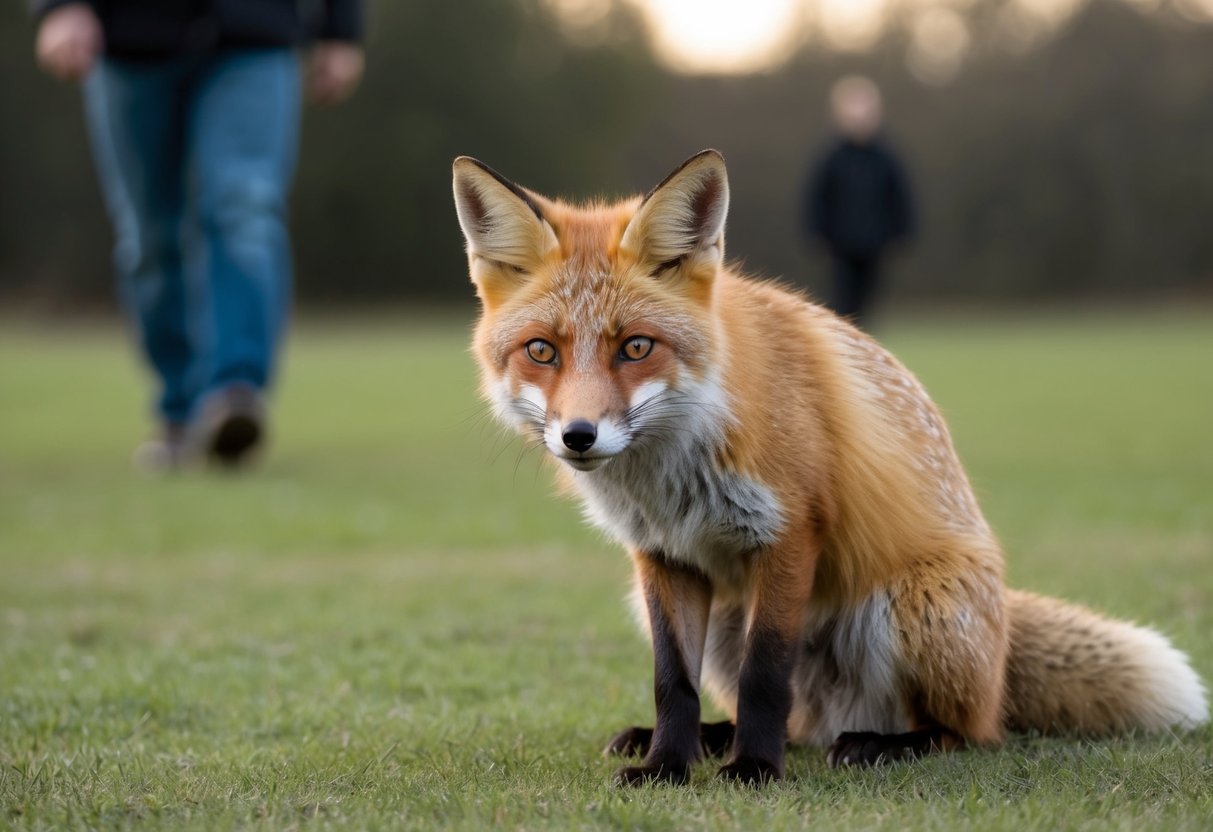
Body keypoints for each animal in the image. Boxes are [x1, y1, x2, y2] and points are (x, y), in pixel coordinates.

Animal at [450, 149, 1208, 786]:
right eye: (542, 351)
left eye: (635, 346)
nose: (578, 437)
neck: (674, 465)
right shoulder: (663, 556)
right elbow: (673, 683)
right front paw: (668, 765)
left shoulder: (790, 533)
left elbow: (765, 674)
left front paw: (754, 770)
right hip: (722, 618)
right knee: (794, 717)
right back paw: (718, 737)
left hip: (916, 606)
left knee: (967, 731)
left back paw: (879, 745)